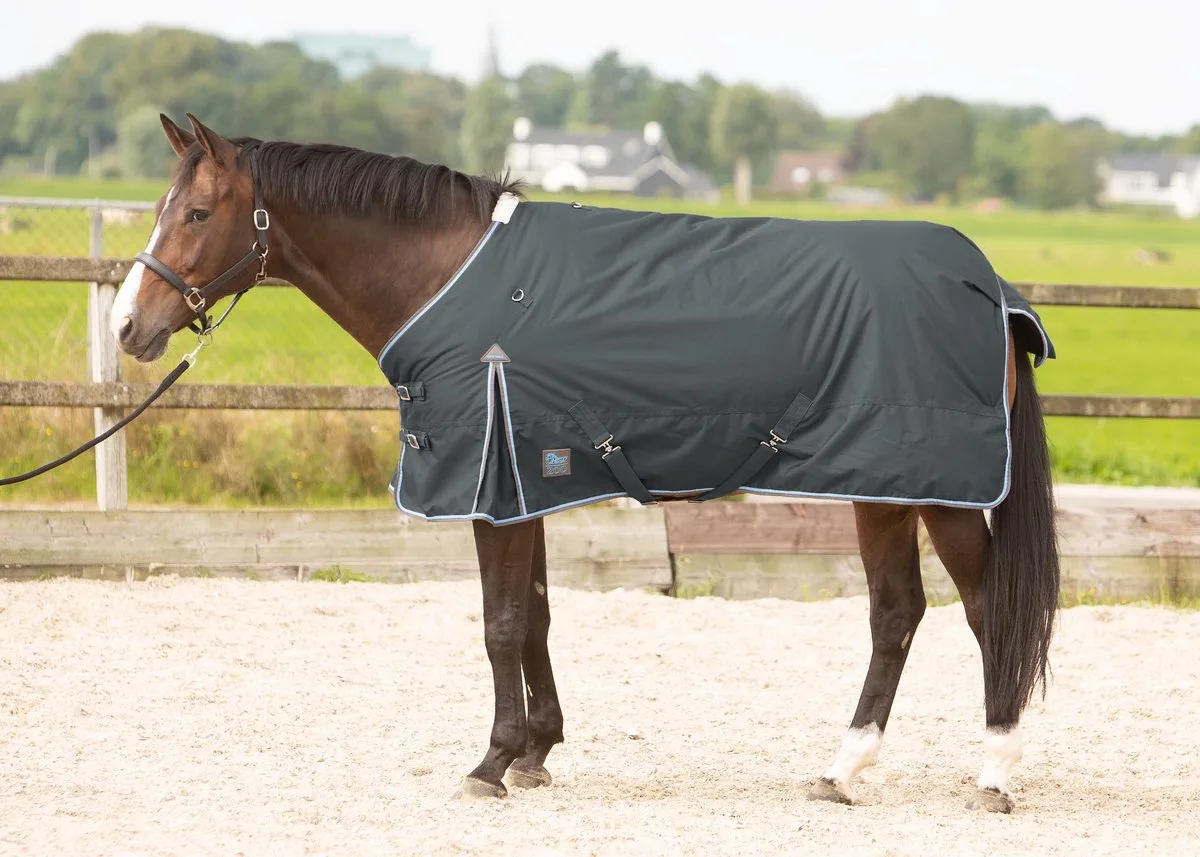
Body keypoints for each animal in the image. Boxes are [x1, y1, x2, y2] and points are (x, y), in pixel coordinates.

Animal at [110, 113, 1060, 813]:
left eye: (196, 214)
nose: (128, 326)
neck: (452, 280)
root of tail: (990, 286)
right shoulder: (524, 477)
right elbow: (534, 615)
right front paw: (537, 749)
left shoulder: (491, 485)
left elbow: (499, 622)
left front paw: (490, 762)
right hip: (884, 486)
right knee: (897, 613)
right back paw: (843, 769)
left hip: (936, 488)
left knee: (987, 609)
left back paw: (995, 772)